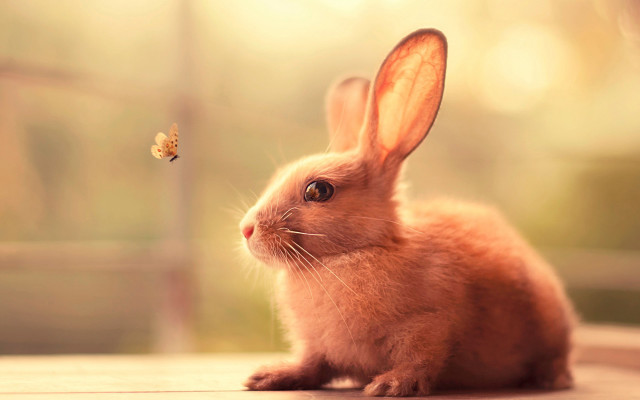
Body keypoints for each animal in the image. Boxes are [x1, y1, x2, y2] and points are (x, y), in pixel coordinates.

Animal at [239, 29, 575, 397]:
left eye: (318, 190)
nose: (246, 229)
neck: (350, 254)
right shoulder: (317, 347)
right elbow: (312, 366)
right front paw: (269, 377)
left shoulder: (428, 326)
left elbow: (419, 360)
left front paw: (389, 384)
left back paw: (551, 379)